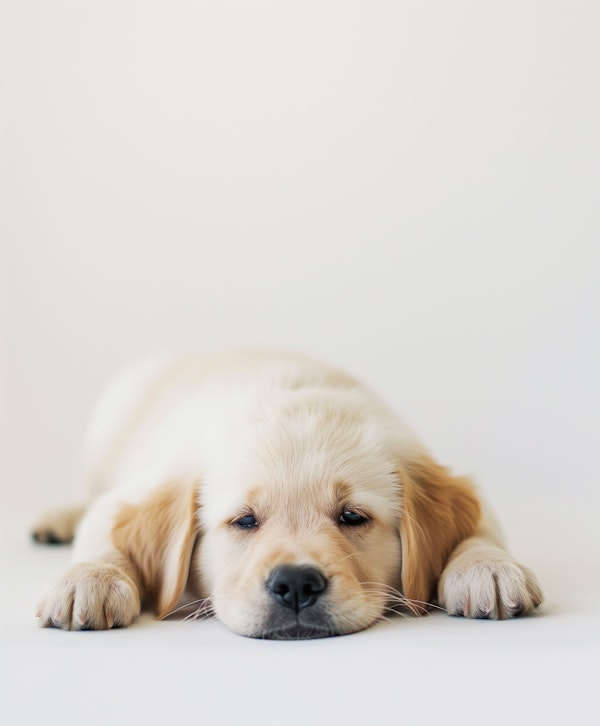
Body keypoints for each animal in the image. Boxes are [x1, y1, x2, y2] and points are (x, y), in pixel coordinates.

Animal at [32, 356, 540, 640]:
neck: (293, 398)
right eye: (244, 520)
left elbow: (480, 529)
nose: (295, 584)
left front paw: (488, 568)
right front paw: (89, 579)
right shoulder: (130, 492)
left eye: (352, 516)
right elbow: (102, 532)